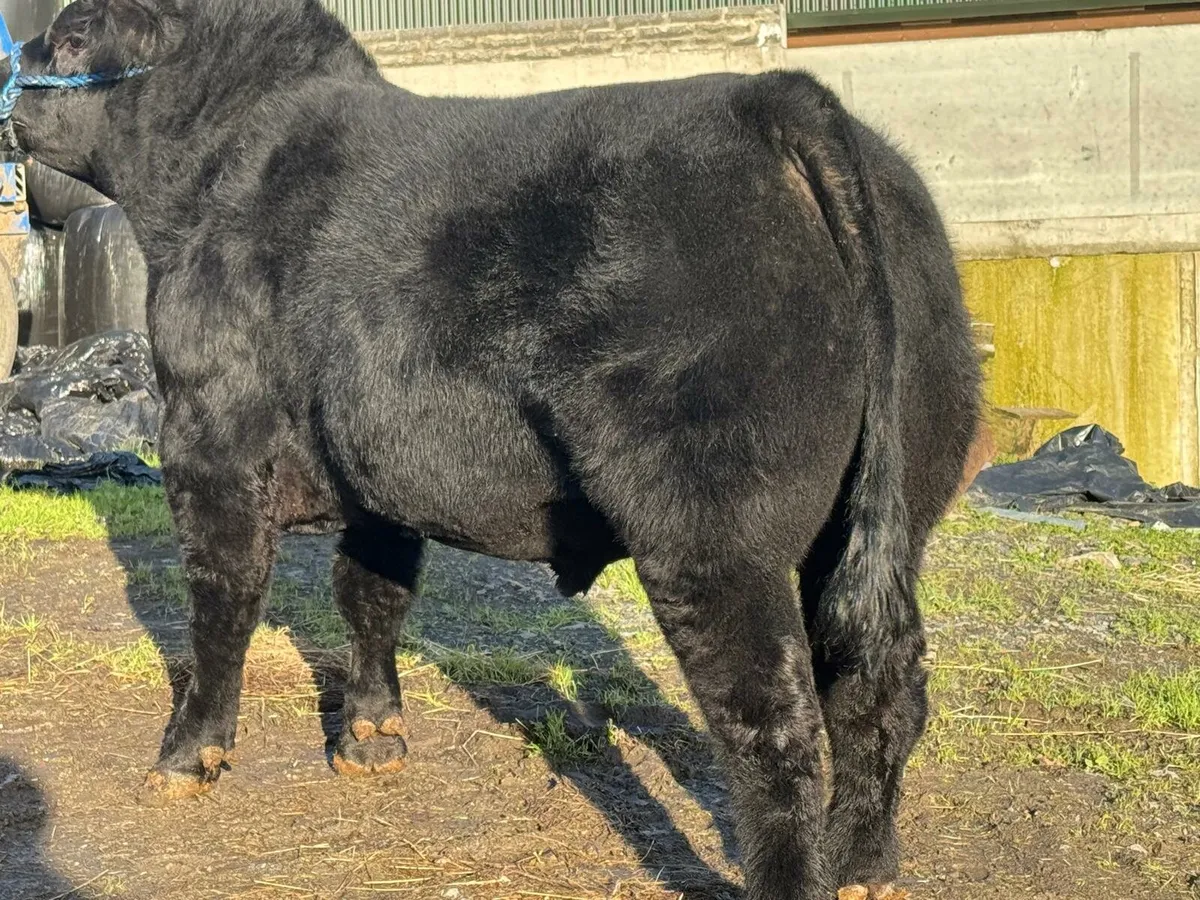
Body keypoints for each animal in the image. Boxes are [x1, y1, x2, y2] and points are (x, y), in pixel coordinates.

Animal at [5, 0, 981, 896]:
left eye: (74, 36)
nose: (12, 88)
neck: (214, 171)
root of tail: (773, 99)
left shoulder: (209, 436)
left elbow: (221, 605)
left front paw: (189, 755)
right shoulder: (377, 465)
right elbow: (372, 590)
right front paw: (371, 735)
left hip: (711, 529)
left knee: (774, 724)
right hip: (886, 511)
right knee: (879, 683)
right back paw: (864, 864)